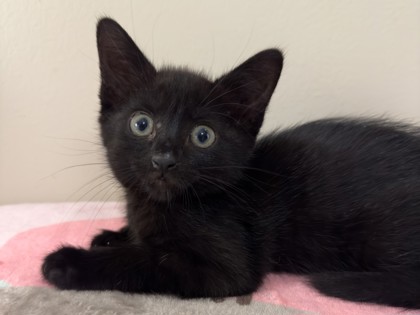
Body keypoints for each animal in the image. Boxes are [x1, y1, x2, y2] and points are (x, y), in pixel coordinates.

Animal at [41, 17, 420, 308]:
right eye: (141, 123)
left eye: (202, 135)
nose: (163, 159)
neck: (162, 207)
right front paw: (111, 236)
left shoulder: (228, 267)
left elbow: (148, 259)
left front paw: (70, 262)